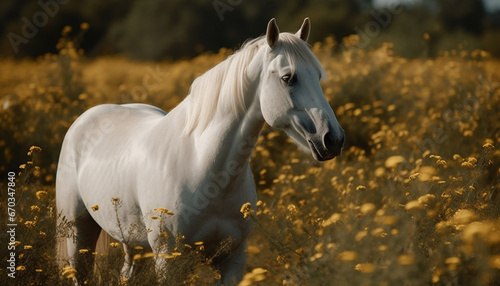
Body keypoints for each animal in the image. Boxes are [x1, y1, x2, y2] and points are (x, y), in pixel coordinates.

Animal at [55, 17, 344, 284]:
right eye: (288, 78)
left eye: (318, 76)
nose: (333, 139)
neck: (202, 166)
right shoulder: (168, 260)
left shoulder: (233, 259)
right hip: (78, 235)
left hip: (132, 242)